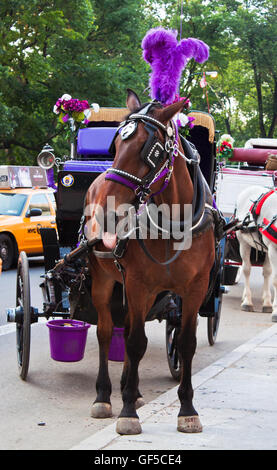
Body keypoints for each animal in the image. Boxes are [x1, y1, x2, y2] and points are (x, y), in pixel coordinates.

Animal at [85, 90, 215, 436]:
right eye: (116, 146)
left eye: (151, 151)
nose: (104, 212)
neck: (174, 225)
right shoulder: (138, 284)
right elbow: (133, 344)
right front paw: (128, 411)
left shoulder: (194, 289)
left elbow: (185, 343)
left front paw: (187, 409)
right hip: (104, 280)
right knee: (107, 332)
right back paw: (104, 395)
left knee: (130, 325)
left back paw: (132, 389)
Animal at [234, 185, 276, 322]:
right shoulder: (273, 249)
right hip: (243, 241)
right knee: (246, 269)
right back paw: (247, 301)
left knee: (266, 272)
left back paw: (266, 302)